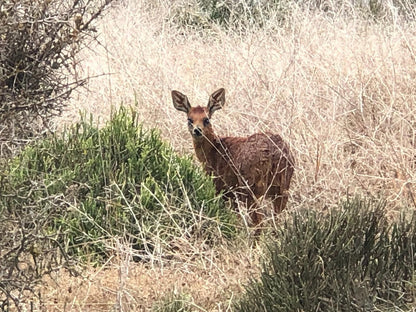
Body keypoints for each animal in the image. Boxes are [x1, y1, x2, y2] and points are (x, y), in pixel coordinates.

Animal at [171, 88, 294, 232]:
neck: (213, 152)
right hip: (283, 186)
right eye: (189, 119)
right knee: (277, 217)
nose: (197, 130)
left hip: (249, 185)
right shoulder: (231, 193)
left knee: (259, 221)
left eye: (206, 119)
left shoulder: (220, 187)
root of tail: (274, 153)